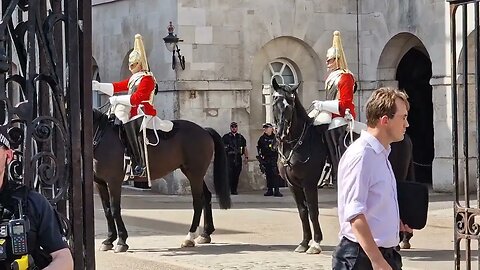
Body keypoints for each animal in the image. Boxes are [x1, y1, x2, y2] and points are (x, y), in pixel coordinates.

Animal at [93, 108, 232, 252]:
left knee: (198, 202)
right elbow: (107, 210)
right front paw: (109, 240)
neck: (101, 136)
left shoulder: (113, 182)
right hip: (194, 174)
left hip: (195, 174)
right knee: (206, 197)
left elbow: (115, 209)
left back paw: (189, 237)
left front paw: (121, 241)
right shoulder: (100, 183)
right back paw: (205, 234)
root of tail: (204, 130)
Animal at [272, 79, 328, 254]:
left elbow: (313, 210)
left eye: (290, 105)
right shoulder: (293, 185)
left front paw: (316, 243)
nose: (281, 134)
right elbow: (303, 212)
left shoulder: (309, 183)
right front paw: (304, 242)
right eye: (274, 104)